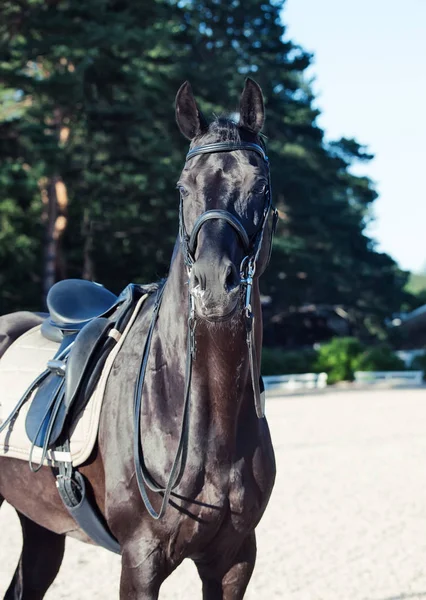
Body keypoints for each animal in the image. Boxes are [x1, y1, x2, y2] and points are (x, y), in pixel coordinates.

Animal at [0, 79, 276, 600]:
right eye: (183, 187)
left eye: (261, 185)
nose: (214, 284)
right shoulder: (141, 561)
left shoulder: (235, 560)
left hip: (40, 525)